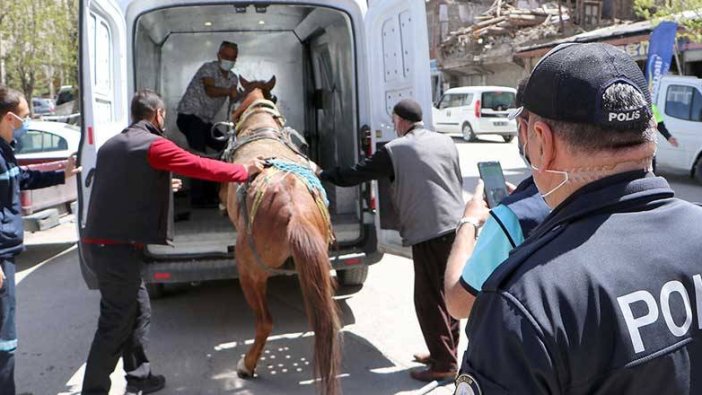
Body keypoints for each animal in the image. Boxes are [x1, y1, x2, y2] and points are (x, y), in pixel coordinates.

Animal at [226, 75, 344, 395]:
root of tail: (295, 213)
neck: (260, 126)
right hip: (311, 271)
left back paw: (247, 365)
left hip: (250, 273)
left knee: (265, 322)